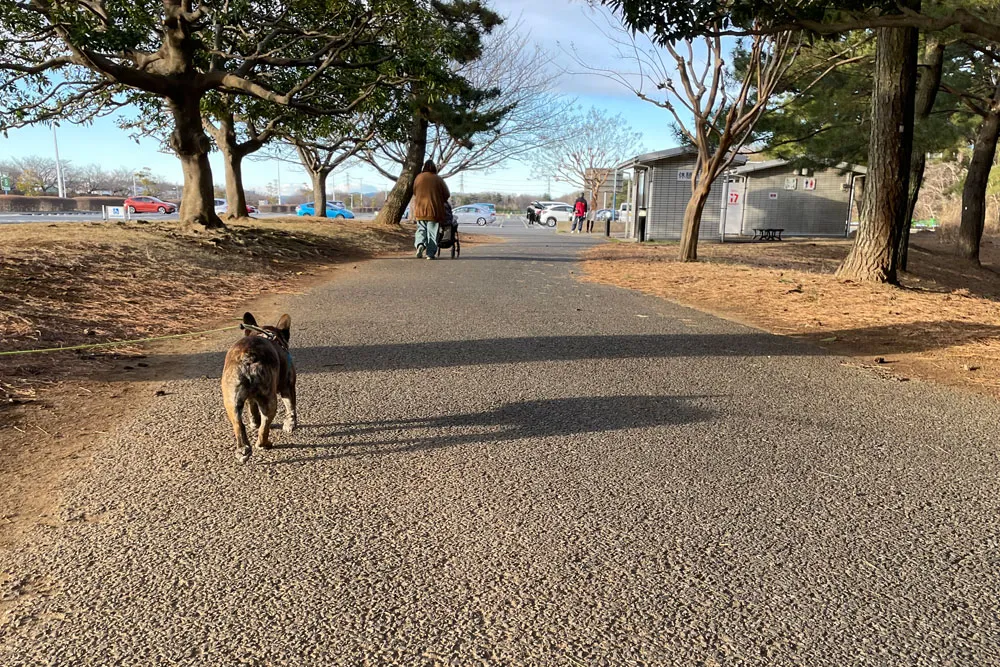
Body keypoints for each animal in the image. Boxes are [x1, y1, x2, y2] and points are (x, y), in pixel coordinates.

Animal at [220, 314, 294, 464]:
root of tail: (248, 357)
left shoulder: (250, 398)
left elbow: (252, 409)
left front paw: (254, 422)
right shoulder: (288, 385)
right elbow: (291, 407)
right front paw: (290, 425)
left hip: (231, 400)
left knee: (239, 424)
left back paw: (243, 450)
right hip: (269, 400)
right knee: (264, 428)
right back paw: (264, 444)